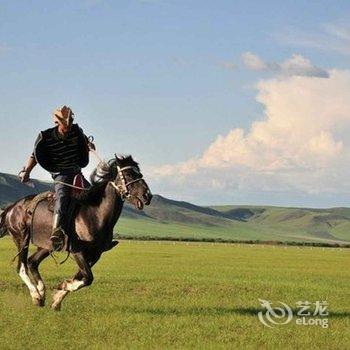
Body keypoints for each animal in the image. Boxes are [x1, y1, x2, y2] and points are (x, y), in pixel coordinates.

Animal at [0, 154, 152, 310]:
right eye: (128, 174)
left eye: (139, 173)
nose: (147, 196)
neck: (95, 214)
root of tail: (12, 207)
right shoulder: (77, 250)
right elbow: (88, 277)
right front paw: (62, 288)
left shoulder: (96, 254)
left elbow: (81, 276)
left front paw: (57, 298)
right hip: (22, 238)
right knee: (22, 267)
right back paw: (36, 295)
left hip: (48, 245)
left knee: (32, 262)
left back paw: (41, 294)